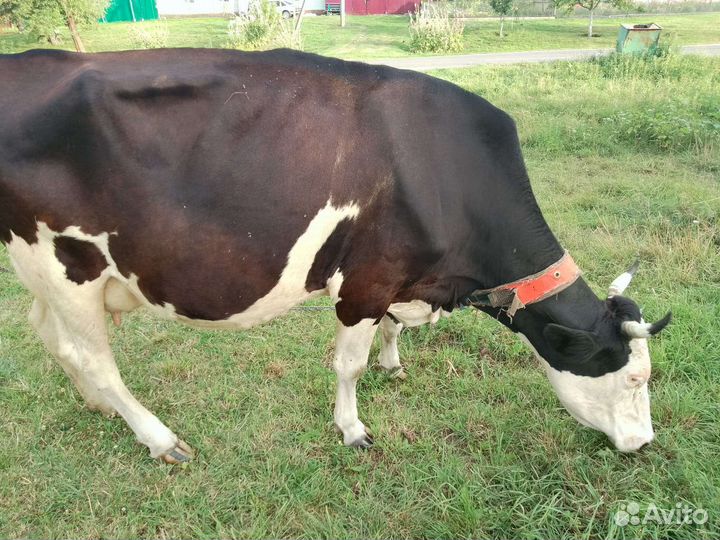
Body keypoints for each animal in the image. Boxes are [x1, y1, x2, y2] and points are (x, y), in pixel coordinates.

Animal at [0, 48, 670, 463]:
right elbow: (349, 363)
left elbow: (392, 333)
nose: (644, 444)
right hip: (67, 265)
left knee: (58, 342)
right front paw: (352, 429)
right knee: (98, 360)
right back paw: (159, 438)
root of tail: (26, 62)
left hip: (45, 269)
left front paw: (394, 364)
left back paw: (97, 407)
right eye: (634, 377)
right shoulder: (365, 282)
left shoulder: (403, 281)